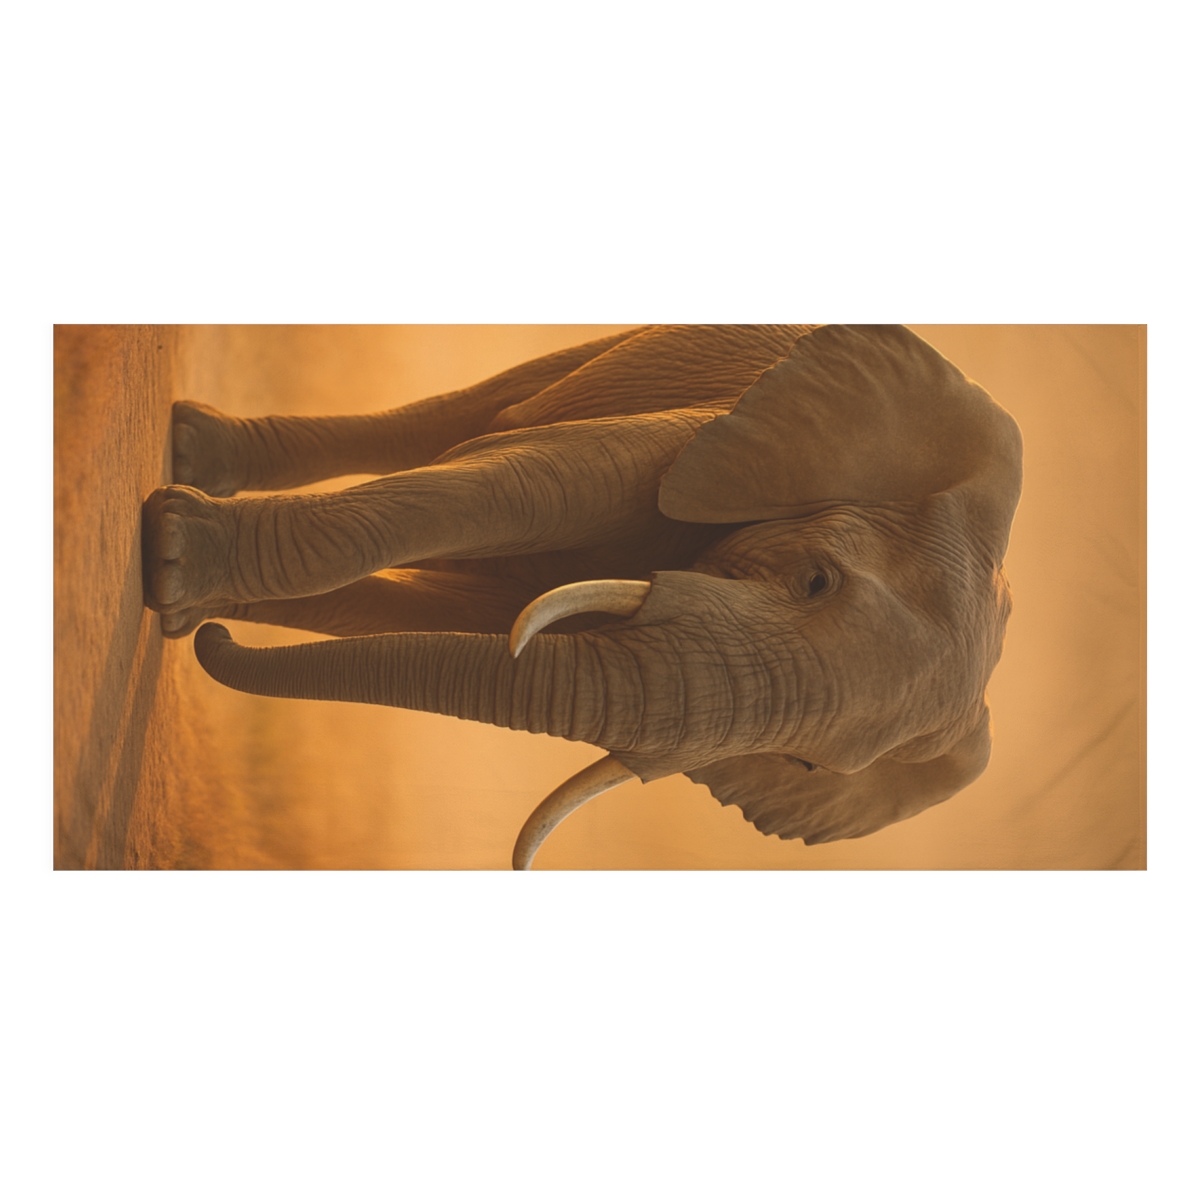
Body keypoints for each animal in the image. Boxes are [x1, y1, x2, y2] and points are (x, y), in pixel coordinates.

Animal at [141, 324, 1022, 868]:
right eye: (815, 580)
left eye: (802, 762)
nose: (211, 644)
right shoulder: (719, 438)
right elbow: (547, 477)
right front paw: (178, 566)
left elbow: (438, 611)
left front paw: (194, 606)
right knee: (465, 416)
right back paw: (188, 469)